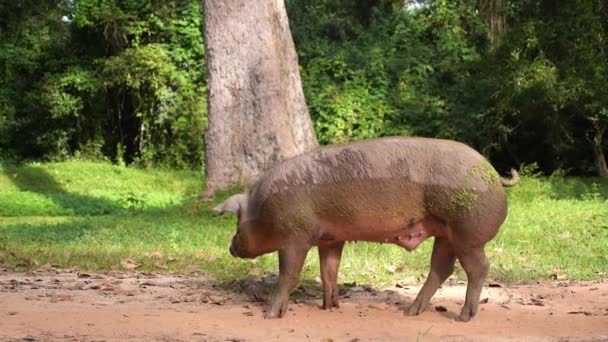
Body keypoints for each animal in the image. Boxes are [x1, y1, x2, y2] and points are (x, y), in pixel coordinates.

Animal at [214, 136, 516, 320]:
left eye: (237, 220)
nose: (230, 246)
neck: (263, 210)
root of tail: (493, 173)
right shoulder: (330, 239)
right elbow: (328, 271)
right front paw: (329, 307)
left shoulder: (296, 237)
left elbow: (288, 275)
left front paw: (269, 316)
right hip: (446, 235)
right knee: (441, 269)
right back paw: (411, 312)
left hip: (468, 235)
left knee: (479, 269)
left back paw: (464, 317)